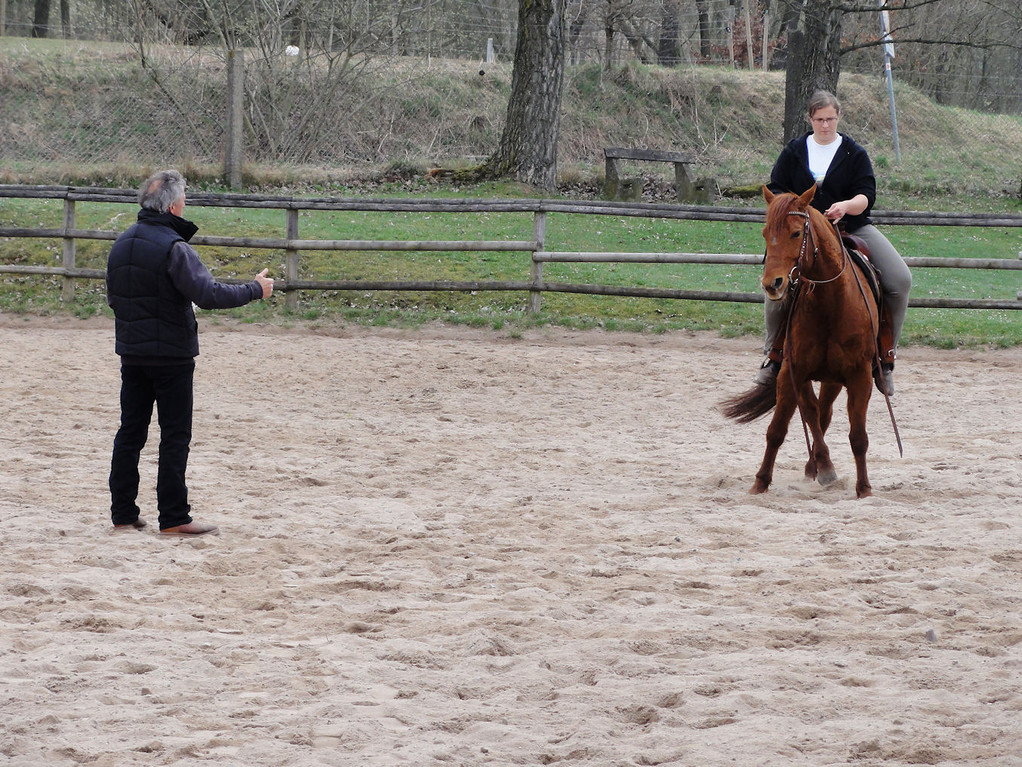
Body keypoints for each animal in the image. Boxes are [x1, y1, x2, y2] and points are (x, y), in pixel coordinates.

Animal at [723, 185, 883, 499]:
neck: (831, 304)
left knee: (826, 414)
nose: (772, 284)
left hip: (835, 379)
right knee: (811, 417)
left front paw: (864, 489)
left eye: (797, 233)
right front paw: (763, 481)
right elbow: (785, 426)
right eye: (765, 233)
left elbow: (857, 436)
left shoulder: (859, 377)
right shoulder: (792, 372)